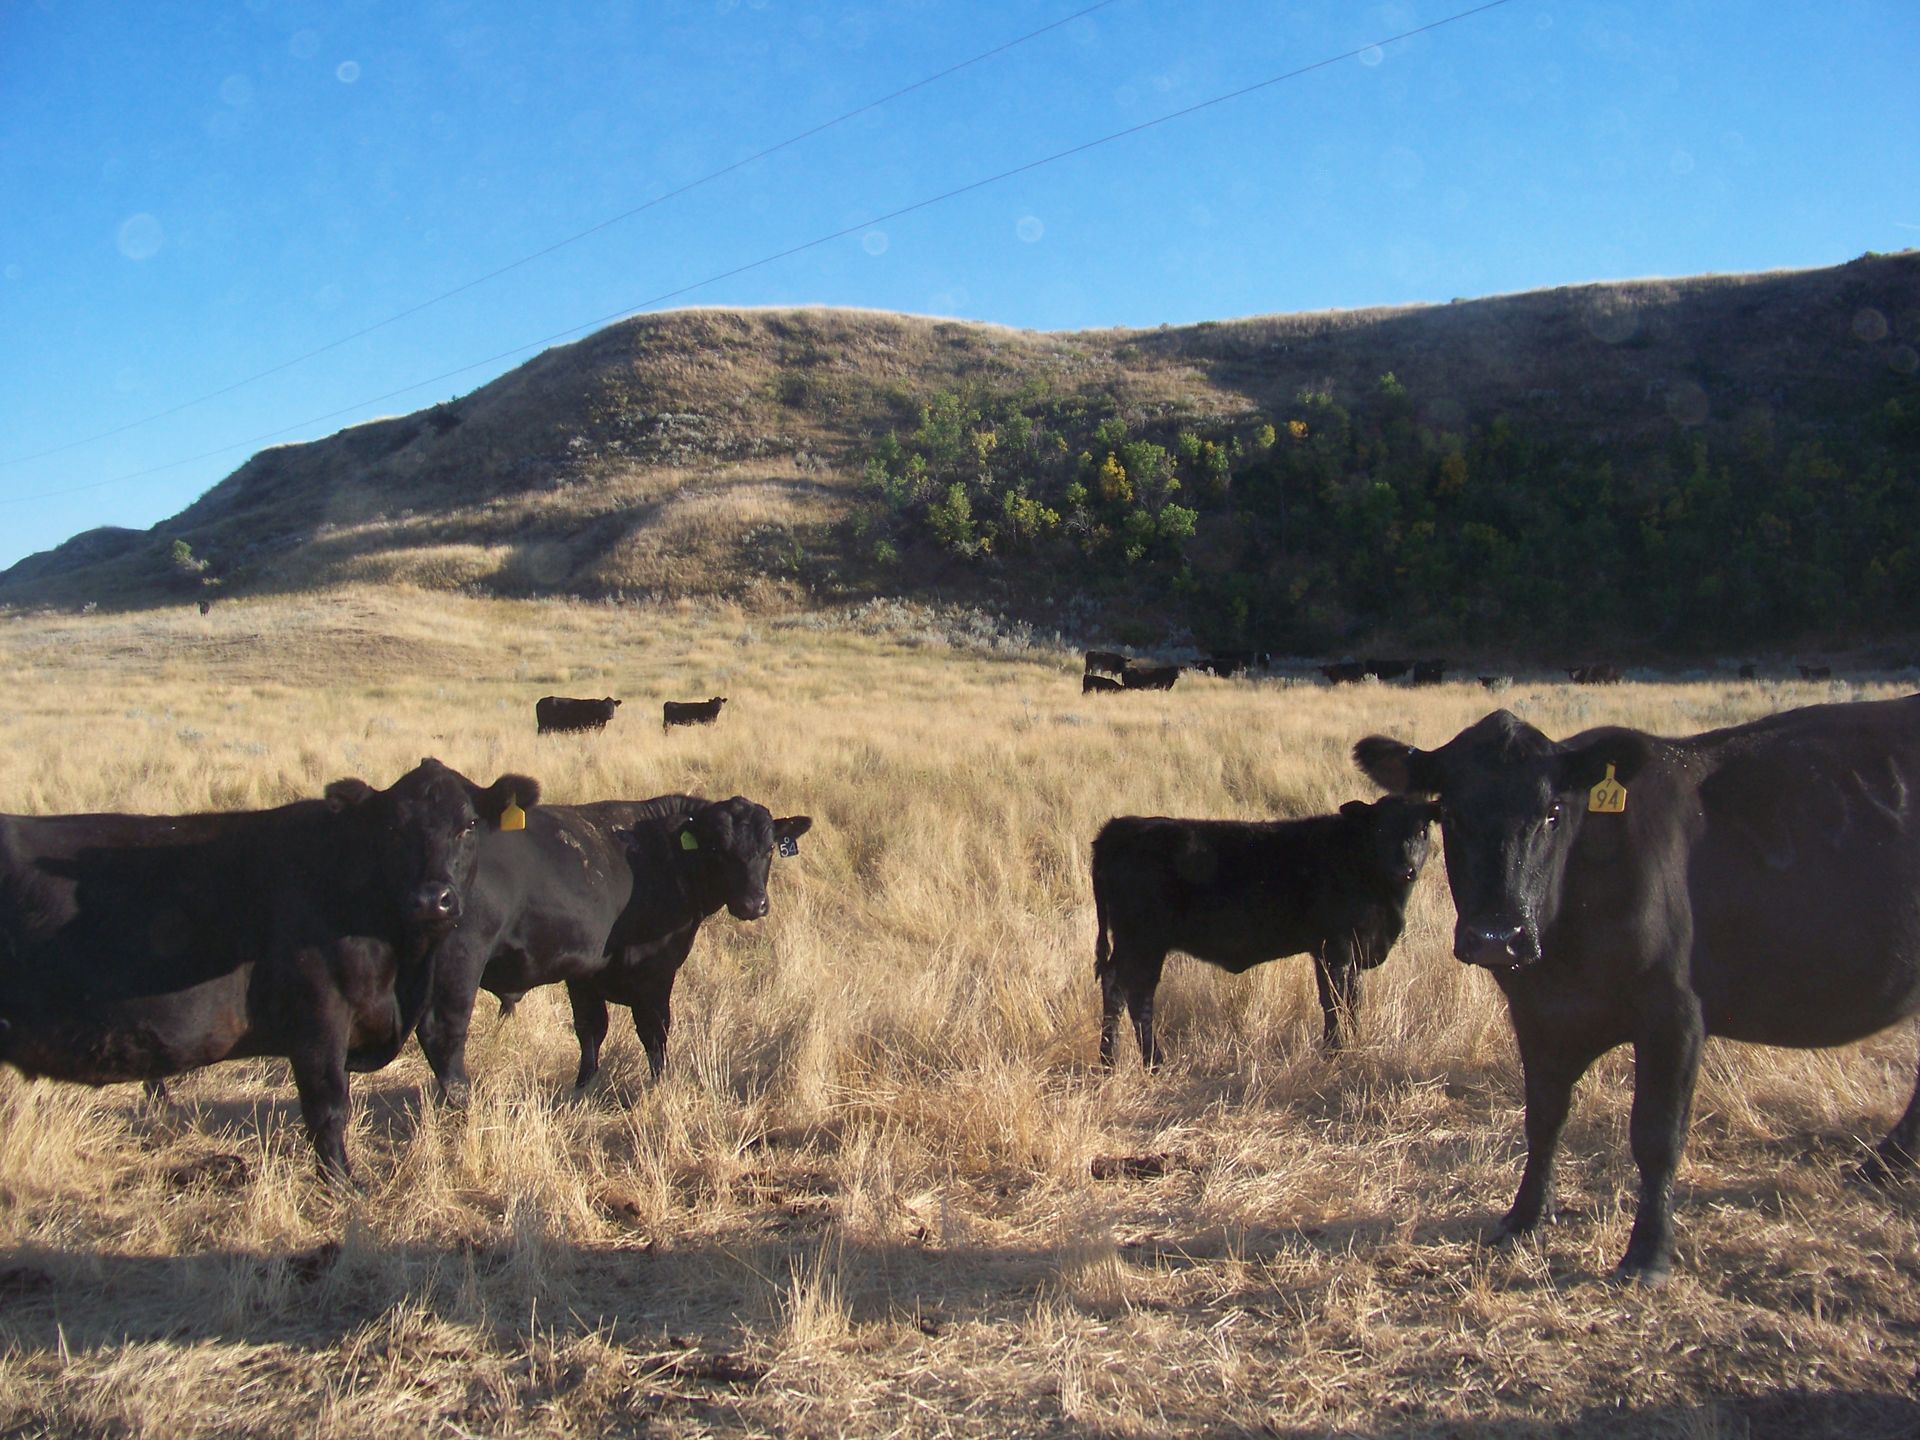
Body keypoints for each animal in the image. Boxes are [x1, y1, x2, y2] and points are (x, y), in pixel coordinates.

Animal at [1, 760, 541, 1175]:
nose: (432, 899)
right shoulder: (318, 1017)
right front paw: (344, 1186)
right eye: (392, 828)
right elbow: (328, 1110)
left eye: (468, 824)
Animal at [420, 794, 810, 1098]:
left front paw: (582, 1088)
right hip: (459, 965)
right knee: (442, 1037)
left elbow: (590, 1030)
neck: (661, 853)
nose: (753, 904)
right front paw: (659, 1086)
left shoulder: (584, 974)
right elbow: (654, 1031)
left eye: (769, 847)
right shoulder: (655, 971)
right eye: (717, 848)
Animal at [1090, 802, 1436, 1075]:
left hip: (1132, 944)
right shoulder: (1334, 947)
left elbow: (1351, 1000)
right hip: (1143, 943)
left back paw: (1108, 1061)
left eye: (1423, 830)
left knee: (1114, 986)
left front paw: (1349, 1046)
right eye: (1379, 828)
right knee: (1136, 994)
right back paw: (1152, 1063)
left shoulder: (1350, 951)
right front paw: (1335, 1053)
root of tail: (1121, 827)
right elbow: (1334, 1001)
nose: (1405, 868)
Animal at [1351, 695, 1920, 1282]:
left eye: (1553, 813)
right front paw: (1525, 1216)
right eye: (1451, 814)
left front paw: (1648, 1253)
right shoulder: (1536, 1012)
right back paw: (1882, 1165)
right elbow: (1543, 1118)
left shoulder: (1675, 1015)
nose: (1497, 937)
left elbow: (1656, 1136)